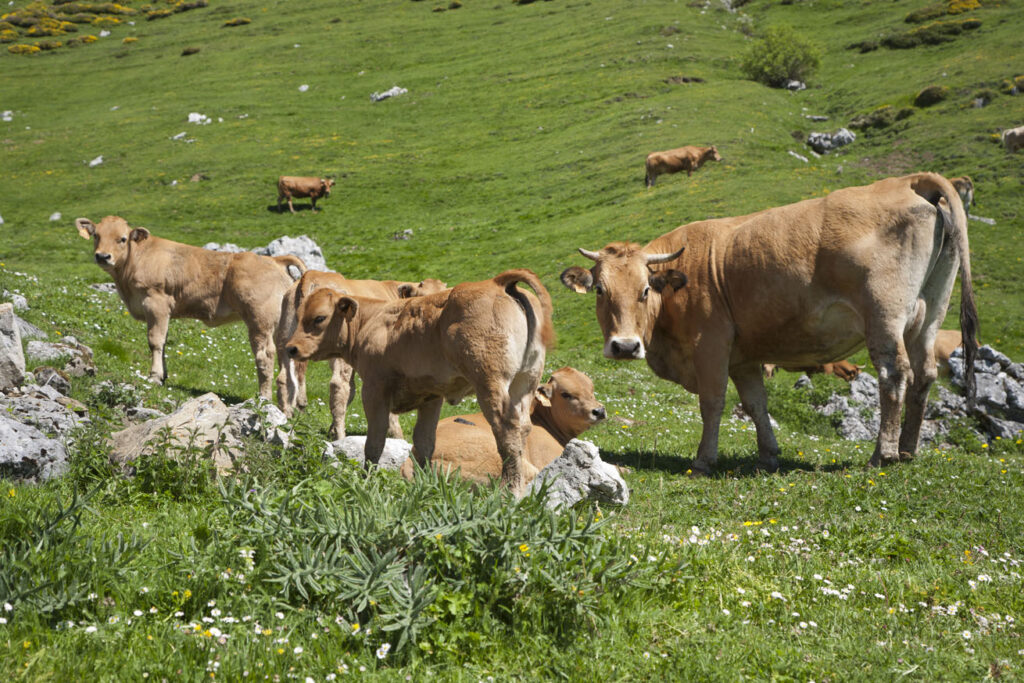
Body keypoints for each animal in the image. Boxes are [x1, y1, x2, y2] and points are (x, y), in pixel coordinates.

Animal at [75, 215, 306, 398]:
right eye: (96, 236)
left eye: (122, 239)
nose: (103, 256)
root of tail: (274, 260)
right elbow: (164, 341)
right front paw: (163, 375)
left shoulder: (156, 303)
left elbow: (155, 341)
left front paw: (154, 376)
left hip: (259, 320)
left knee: (265, 355)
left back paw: (264, 398)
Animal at [275, 270, 448, 439]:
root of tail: (312, 274)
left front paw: (331, 429)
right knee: (338, 385)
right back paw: (341, 437)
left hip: (285, 341)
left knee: (284, 378)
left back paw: (285, 417)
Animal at [560, 173, 978, 473]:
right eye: (600, 290)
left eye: (645, 290)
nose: (625, 346)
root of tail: (908, 181)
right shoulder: (744, 357)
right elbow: (756, 404)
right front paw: (768, 455)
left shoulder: (710, 343)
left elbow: (713, 401)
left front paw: (704, 460)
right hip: (929, 314)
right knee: (924, 375)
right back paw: (908, 450)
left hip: (884, 313)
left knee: (894, 374)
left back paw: (883, 454)